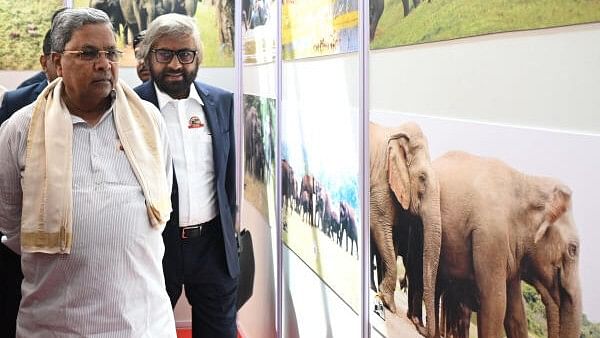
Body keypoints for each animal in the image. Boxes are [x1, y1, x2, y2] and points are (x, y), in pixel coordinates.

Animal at [370, 120, 440, 336]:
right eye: (422, 178)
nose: (418, 325)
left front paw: (384, 300)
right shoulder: (380, 180)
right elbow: (379, 225)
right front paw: (388, 304)